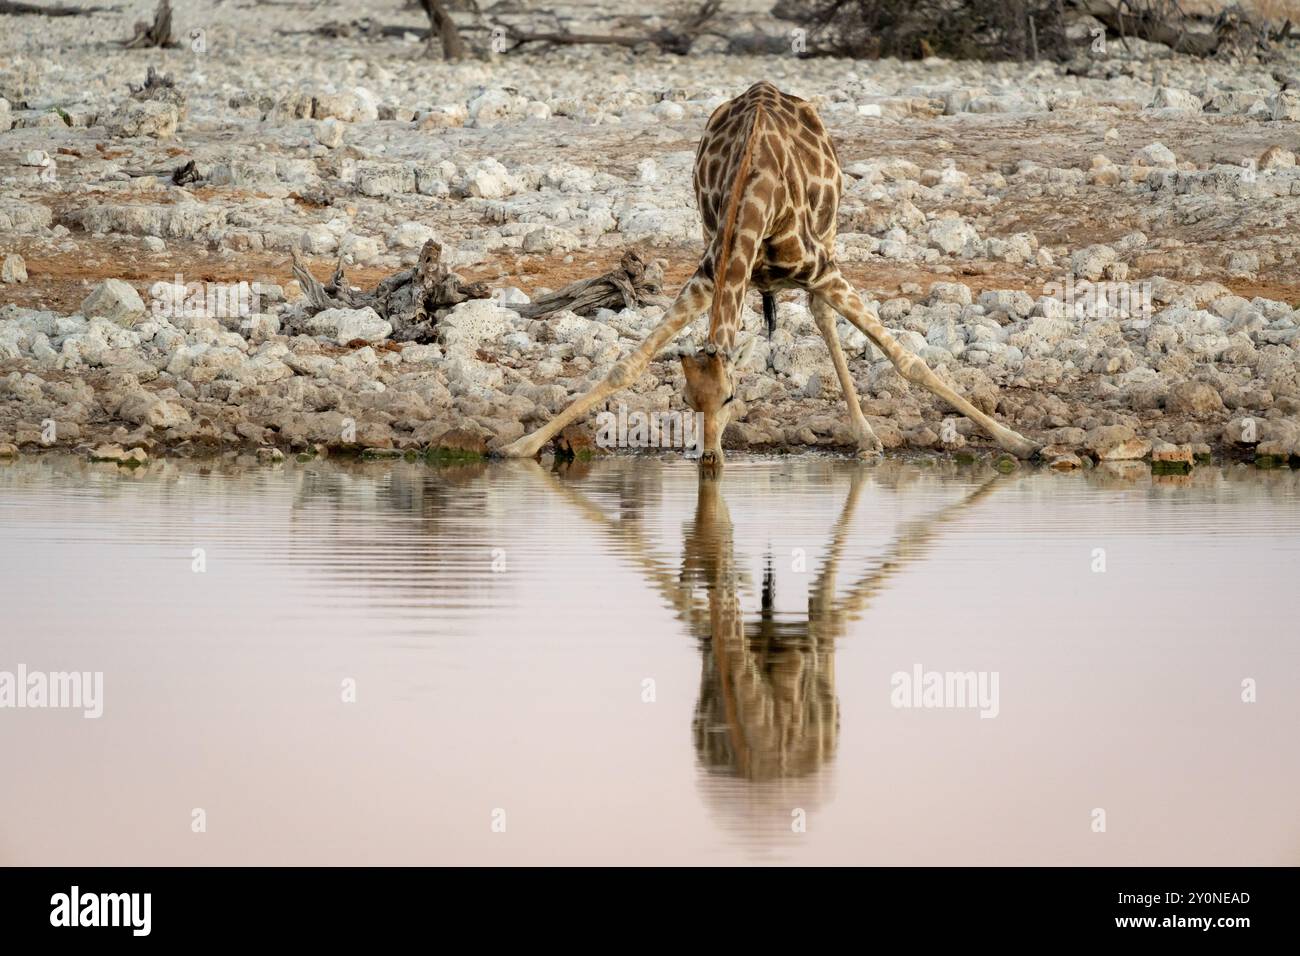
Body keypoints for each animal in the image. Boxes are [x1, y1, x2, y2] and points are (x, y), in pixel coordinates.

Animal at [501, 83, 1040, 465]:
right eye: (687, 400)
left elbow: (908, 360)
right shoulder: (707, 275)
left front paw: (1020, 443)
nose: (709, 459)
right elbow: (626, 365)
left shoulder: (822, 268)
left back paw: (867, 437)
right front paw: (519, 447)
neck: (757, 198)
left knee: (824, 318)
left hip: (830, 235)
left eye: (731, 395)